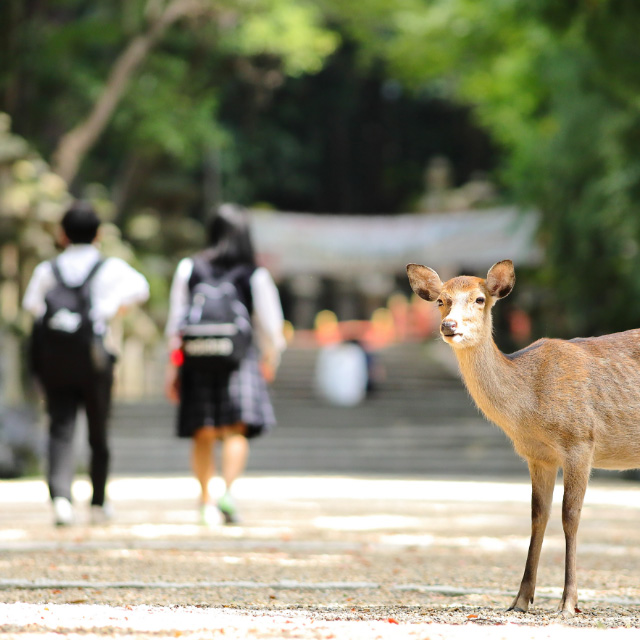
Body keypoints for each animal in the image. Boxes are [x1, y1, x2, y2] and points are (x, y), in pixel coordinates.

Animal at [408, 258, 640, 616]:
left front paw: (568, 602)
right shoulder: (537, 456)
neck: (529, 408)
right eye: (440, 301)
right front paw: (520, 600)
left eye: (479, 299)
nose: (449, 325)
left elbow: (570, 516)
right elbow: (537, 516)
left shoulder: (580, 440)